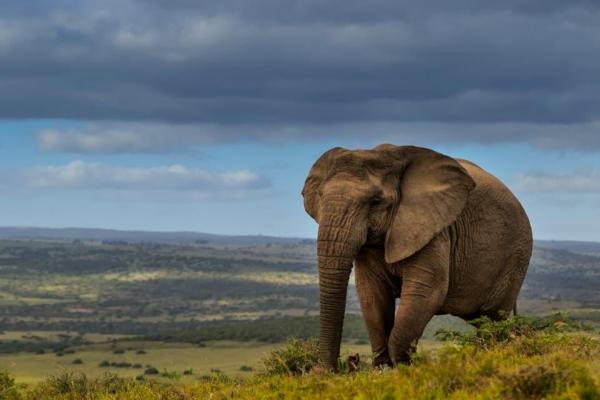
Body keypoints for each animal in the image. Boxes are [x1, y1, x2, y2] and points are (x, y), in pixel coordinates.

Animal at [302, 143, 532, 368]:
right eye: (321, 197)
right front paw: (384, 368)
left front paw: (404, 367)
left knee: (495, 318)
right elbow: (372, 294)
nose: (333, 368)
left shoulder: (433, 228)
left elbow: (427, 291)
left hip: (516, 255)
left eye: (375, 201)